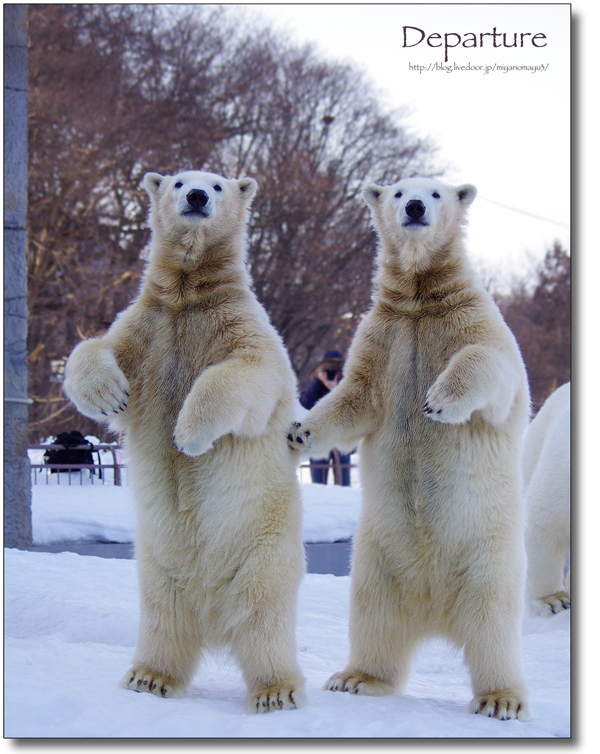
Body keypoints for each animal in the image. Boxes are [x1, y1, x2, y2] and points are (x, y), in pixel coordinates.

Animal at [65, 170, 308, 712]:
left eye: (217, 185)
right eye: (177, 180)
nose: (196, 197)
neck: (188, 294)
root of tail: (213, 617)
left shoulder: (238, 326)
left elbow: (249, 374)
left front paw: (187, 434)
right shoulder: (148, 331)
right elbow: (96, 350)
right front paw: (109, 394)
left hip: (262, 548)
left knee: (263, 617)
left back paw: (276, 690)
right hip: (158, 562)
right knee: (164, 617)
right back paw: (149, 677)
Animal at [288, 175, 532, 716]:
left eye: (437, 193)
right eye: (399, 192)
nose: (417, 206)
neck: (423, 298)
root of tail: (434, 611)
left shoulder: (469, 318)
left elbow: (492, 366)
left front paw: (438, 400)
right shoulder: (384, 335)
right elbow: (354, 399)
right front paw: (298, 432)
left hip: (487, 552)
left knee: (493, 623)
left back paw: (500, 698)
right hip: (379, 555)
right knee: (373, 614)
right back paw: (356, 678)